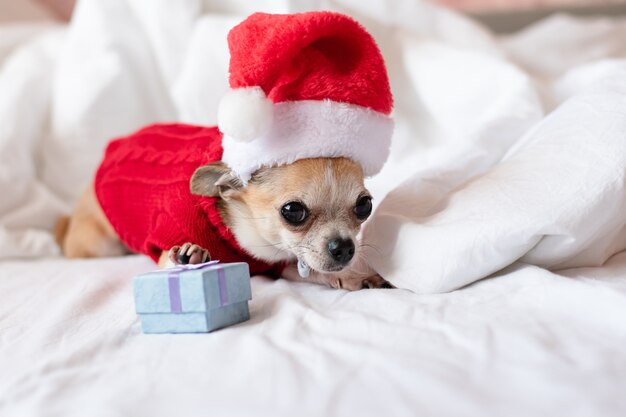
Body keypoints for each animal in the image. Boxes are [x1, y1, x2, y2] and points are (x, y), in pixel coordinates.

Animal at [58, 155, 390, 290]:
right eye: (293, 211)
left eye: (364, 206)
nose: (344, 247)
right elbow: (172, 258)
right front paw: (188, 255)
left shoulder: (281, 264)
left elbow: (313, 272)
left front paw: (355, 277)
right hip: (98, 244)